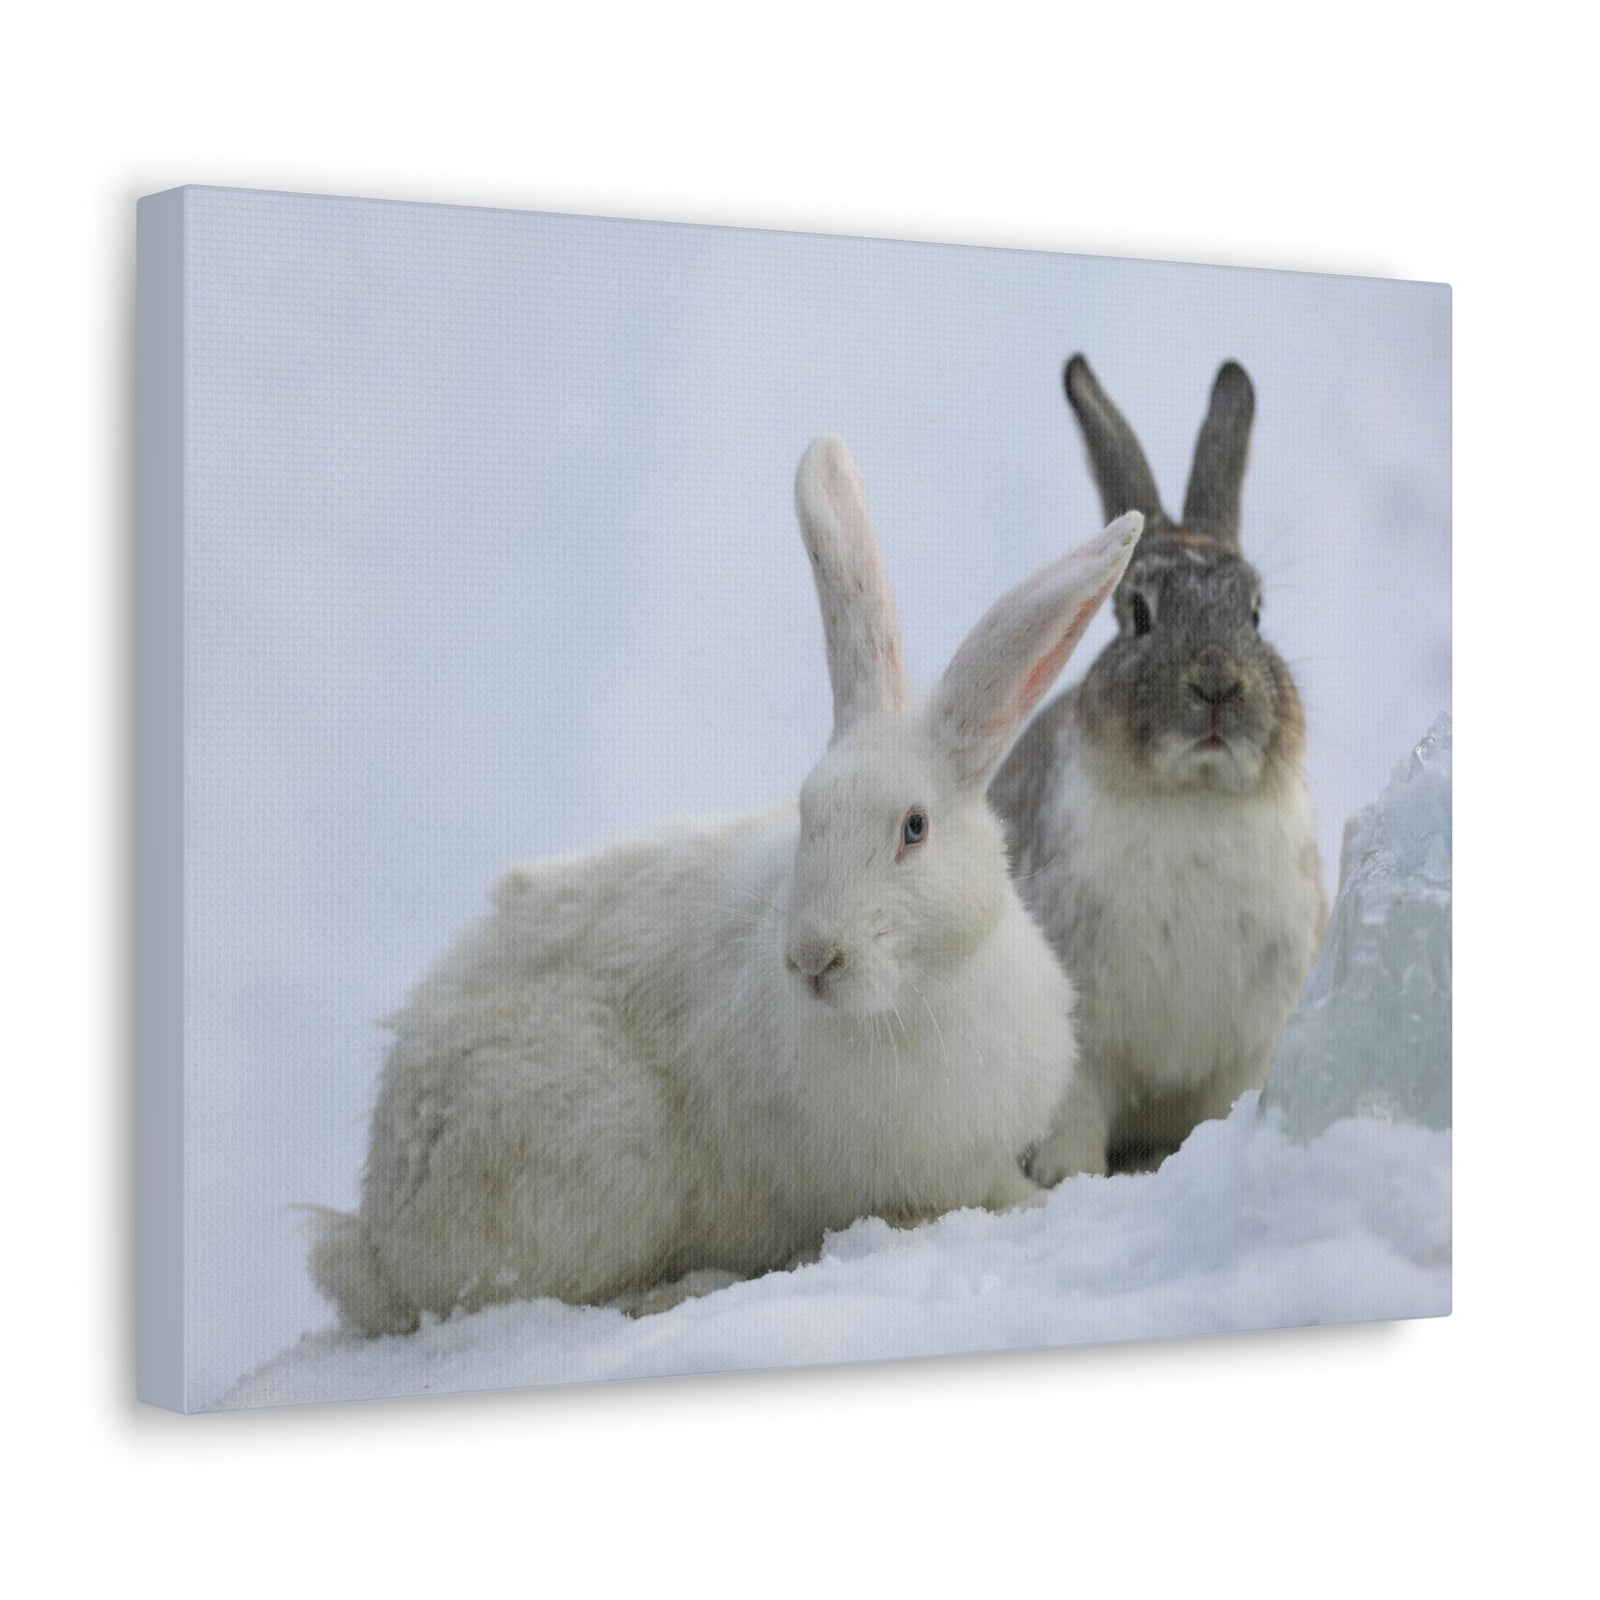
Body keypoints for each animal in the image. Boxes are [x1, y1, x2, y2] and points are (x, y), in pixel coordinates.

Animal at [310, 435, 1143, 1336]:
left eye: (914, 829)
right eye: (808, 816)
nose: (813, 958)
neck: (920, 994)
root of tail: (378, 1240)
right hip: (595, 1158)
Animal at [990, 356, 1327, 1180]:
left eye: (1256, 613)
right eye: (1138, 614)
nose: (1217, 684)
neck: (1192, 797)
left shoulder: (1247, 1051)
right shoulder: (1082, 1045)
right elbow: (1075, 1117)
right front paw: (1069, 1180)